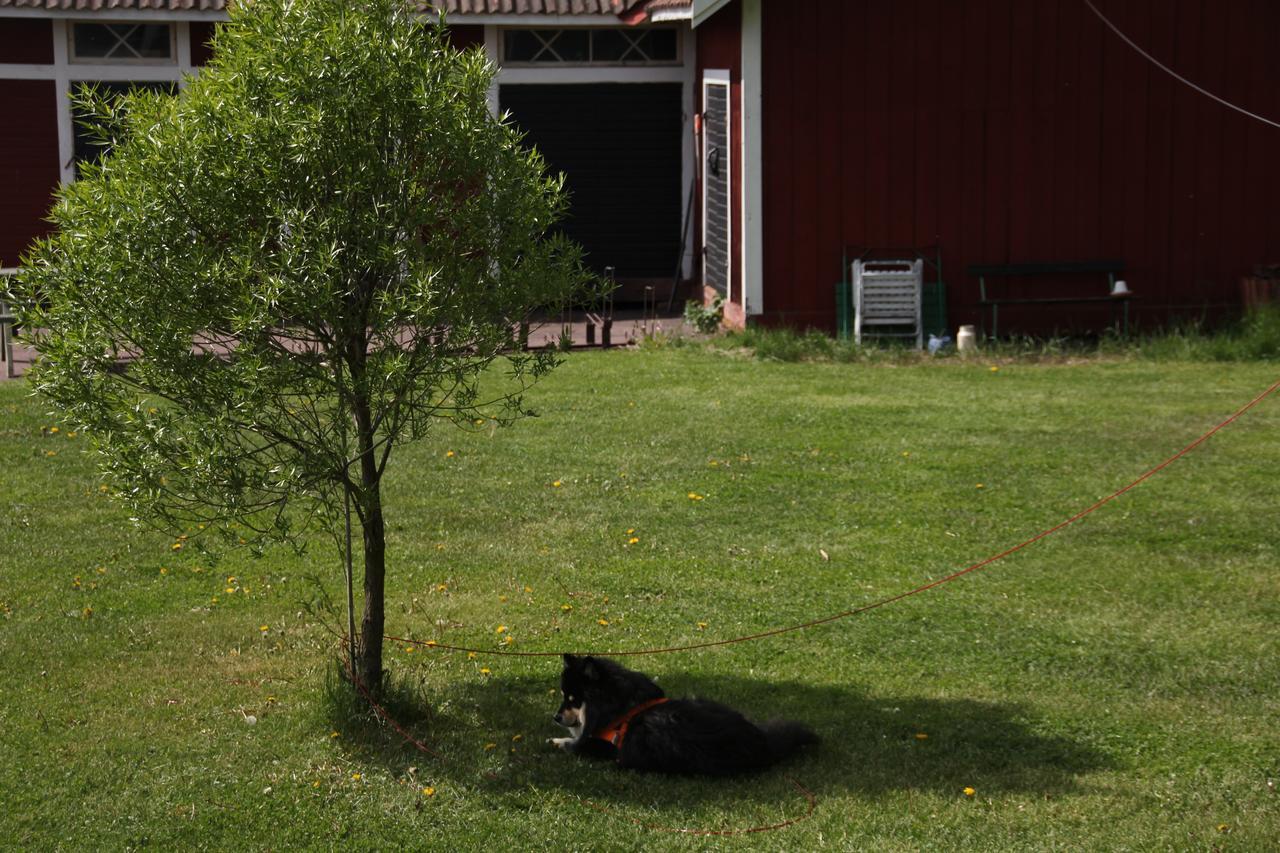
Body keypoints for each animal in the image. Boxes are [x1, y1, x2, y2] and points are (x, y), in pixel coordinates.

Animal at [547, 650, 808, 768]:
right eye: (563, 696)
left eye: (573, 700)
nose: (556, 717)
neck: (620, 708)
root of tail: (764, 745)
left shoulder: (605, 748)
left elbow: (576, 744)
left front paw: (559, 742)